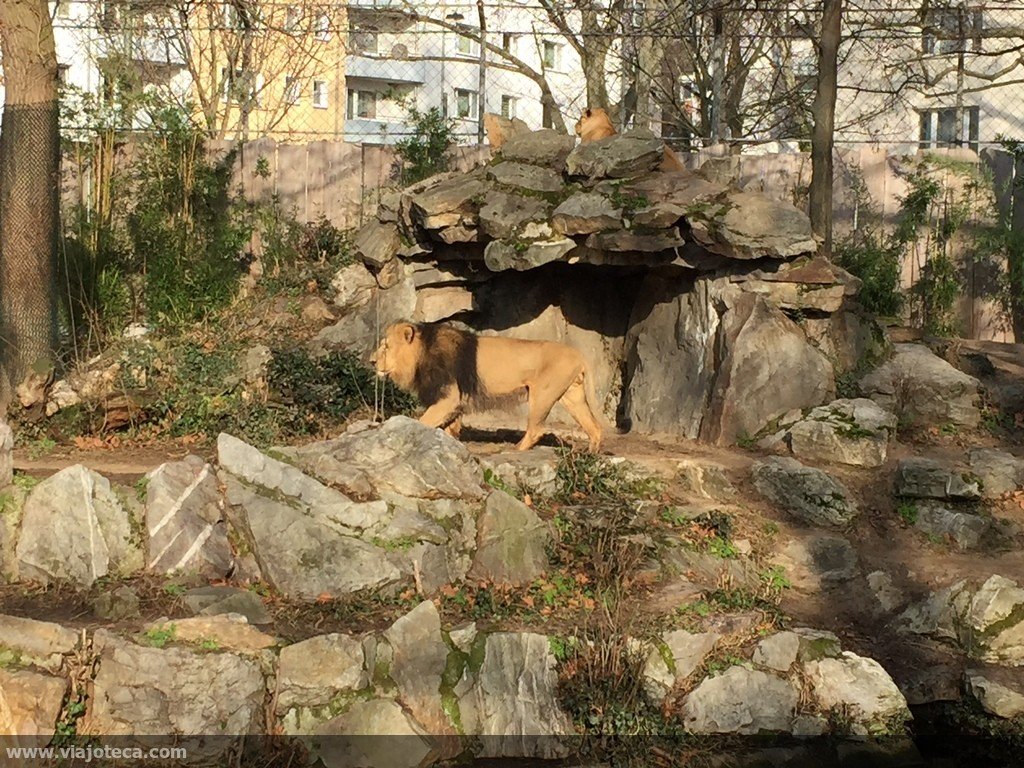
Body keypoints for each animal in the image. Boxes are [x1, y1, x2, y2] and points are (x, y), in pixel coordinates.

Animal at [372, 321, 602, 454]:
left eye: (386, 347)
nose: (372, 361)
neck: (421, 355)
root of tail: (579, 354)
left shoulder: (449, 397)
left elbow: (423, 421)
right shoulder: (455, 403)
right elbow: (448, 428)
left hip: (542, 394)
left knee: (537, 429)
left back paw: (516, 450)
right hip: (572, 396)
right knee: (595, 427)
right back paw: (591, 454)